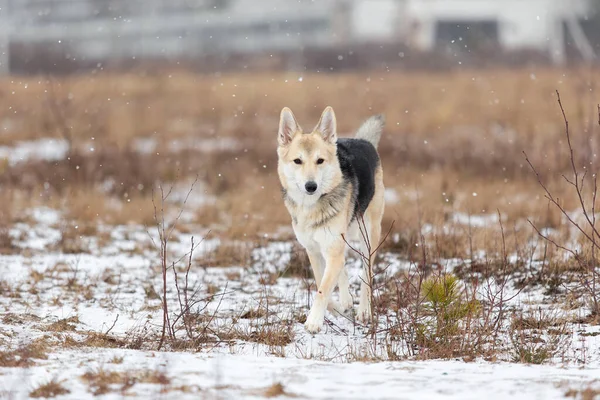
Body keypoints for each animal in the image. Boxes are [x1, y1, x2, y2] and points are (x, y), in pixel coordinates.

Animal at [276, 104, 384, 332]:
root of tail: (364, 141)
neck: (310, 208)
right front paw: (336, 308)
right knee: (343, 267)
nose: (311, 186)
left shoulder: (332, 249)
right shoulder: (313, 250)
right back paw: (346, 301)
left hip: (368, 238)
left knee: (366, 275)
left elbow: (323, 289)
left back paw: (364, 311)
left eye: (320, 161)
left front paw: (314, 321)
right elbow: (320, 282)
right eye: (297, 161)